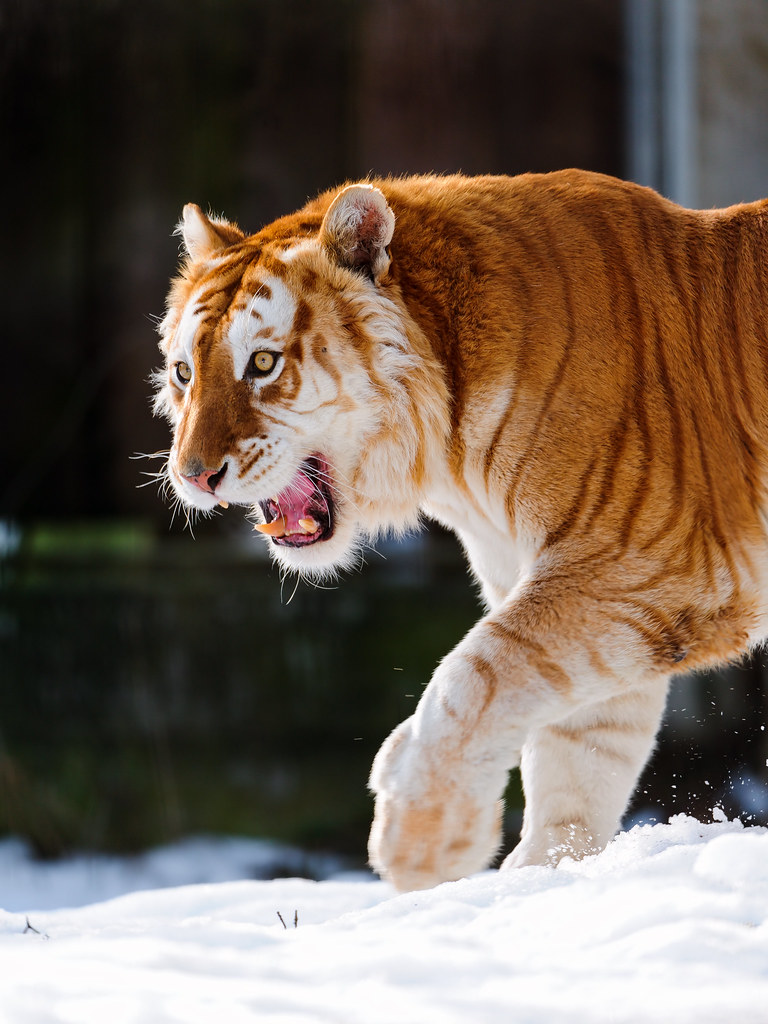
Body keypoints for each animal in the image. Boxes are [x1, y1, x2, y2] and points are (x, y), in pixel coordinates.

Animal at [154, 169, 768, 892]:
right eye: (184, 372)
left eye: (263, 364)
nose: (193, 475)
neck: (451, 452)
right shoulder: (592, 592)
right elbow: (579, 750)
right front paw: (541, 880)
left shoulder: (654, 561)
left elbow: (479, 675)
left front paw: (422, 842)